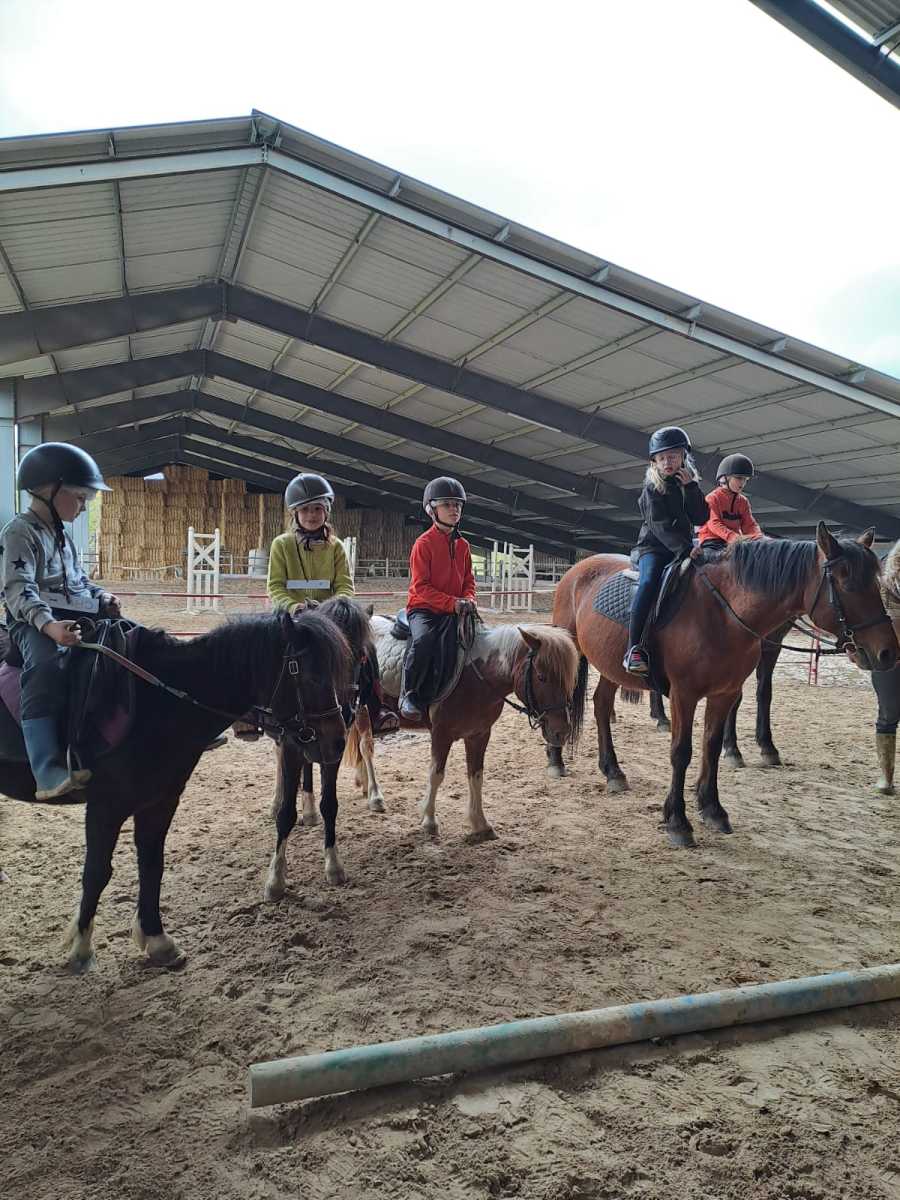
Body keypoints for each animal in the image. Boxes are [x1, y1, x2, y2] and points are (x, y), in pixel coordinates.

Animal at [0, 610, 350, 972]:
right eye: (311, 676)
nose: (338, 741)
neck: (159, 703)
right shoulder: (105, 807)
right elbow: (96, 872)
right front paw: (81, 949)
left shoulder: (161, 801)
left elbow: (152, 864)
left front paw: (158, 941)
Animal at [264, 596, 384, 900]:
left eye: (361, 657)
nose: (346, 702)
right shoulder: (291, 745)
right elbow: (286, 813)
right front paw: (276, 879)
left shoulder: (334, 747)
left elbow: (330, 804)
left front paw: (334, 866)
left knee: (363, 746)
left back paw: (370, 794)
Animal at [344, 614, 586, 842]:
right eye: (542, 677)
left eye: (569, 679)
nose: (562, 732)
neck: (478, 675)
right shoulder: (441, 734)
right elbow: (436, 774)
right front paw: (429, 821)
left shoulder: (479, 734)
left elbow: (476, 775)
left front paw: (481, 824)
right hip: (364, 711)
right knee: (366, 748)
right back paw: (375, 796)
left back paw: (364, 785)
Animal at [551, 525, 897, 848]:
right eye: (844, 580)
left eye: (876, 583)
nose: (888, 652)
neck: (721, 613)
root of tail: (578, 569)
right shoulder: (684, 695)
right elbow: (682, 751)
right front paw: (678, 822)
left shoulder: (724, 693)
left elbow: (712, 746)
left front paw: (712, 808)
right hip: (568, 648)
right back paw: (556, 762)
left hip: (610, 666)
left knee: (601, 705)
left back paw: (613, 772)